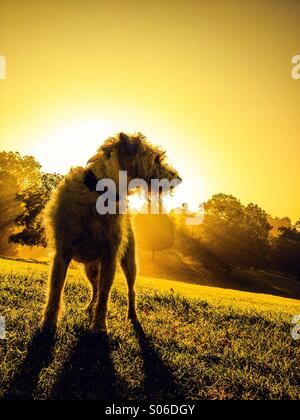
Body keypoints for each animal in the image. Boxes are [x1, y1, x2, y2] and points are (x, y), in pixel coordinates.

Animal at [42, 132, 180, 334]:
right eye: (156, 159)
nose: (178, 178)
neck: (100, 192)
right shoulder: (62, 253)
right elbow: (55, 290)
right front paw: (48, 324)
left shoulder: (110, 257)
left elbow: (105, 296)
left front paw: (99, 327)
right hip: (90, 268)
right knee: (95, 288)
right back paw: (89, 307)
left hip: (129, 262)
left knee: (130, 290)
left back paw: (132, 315)